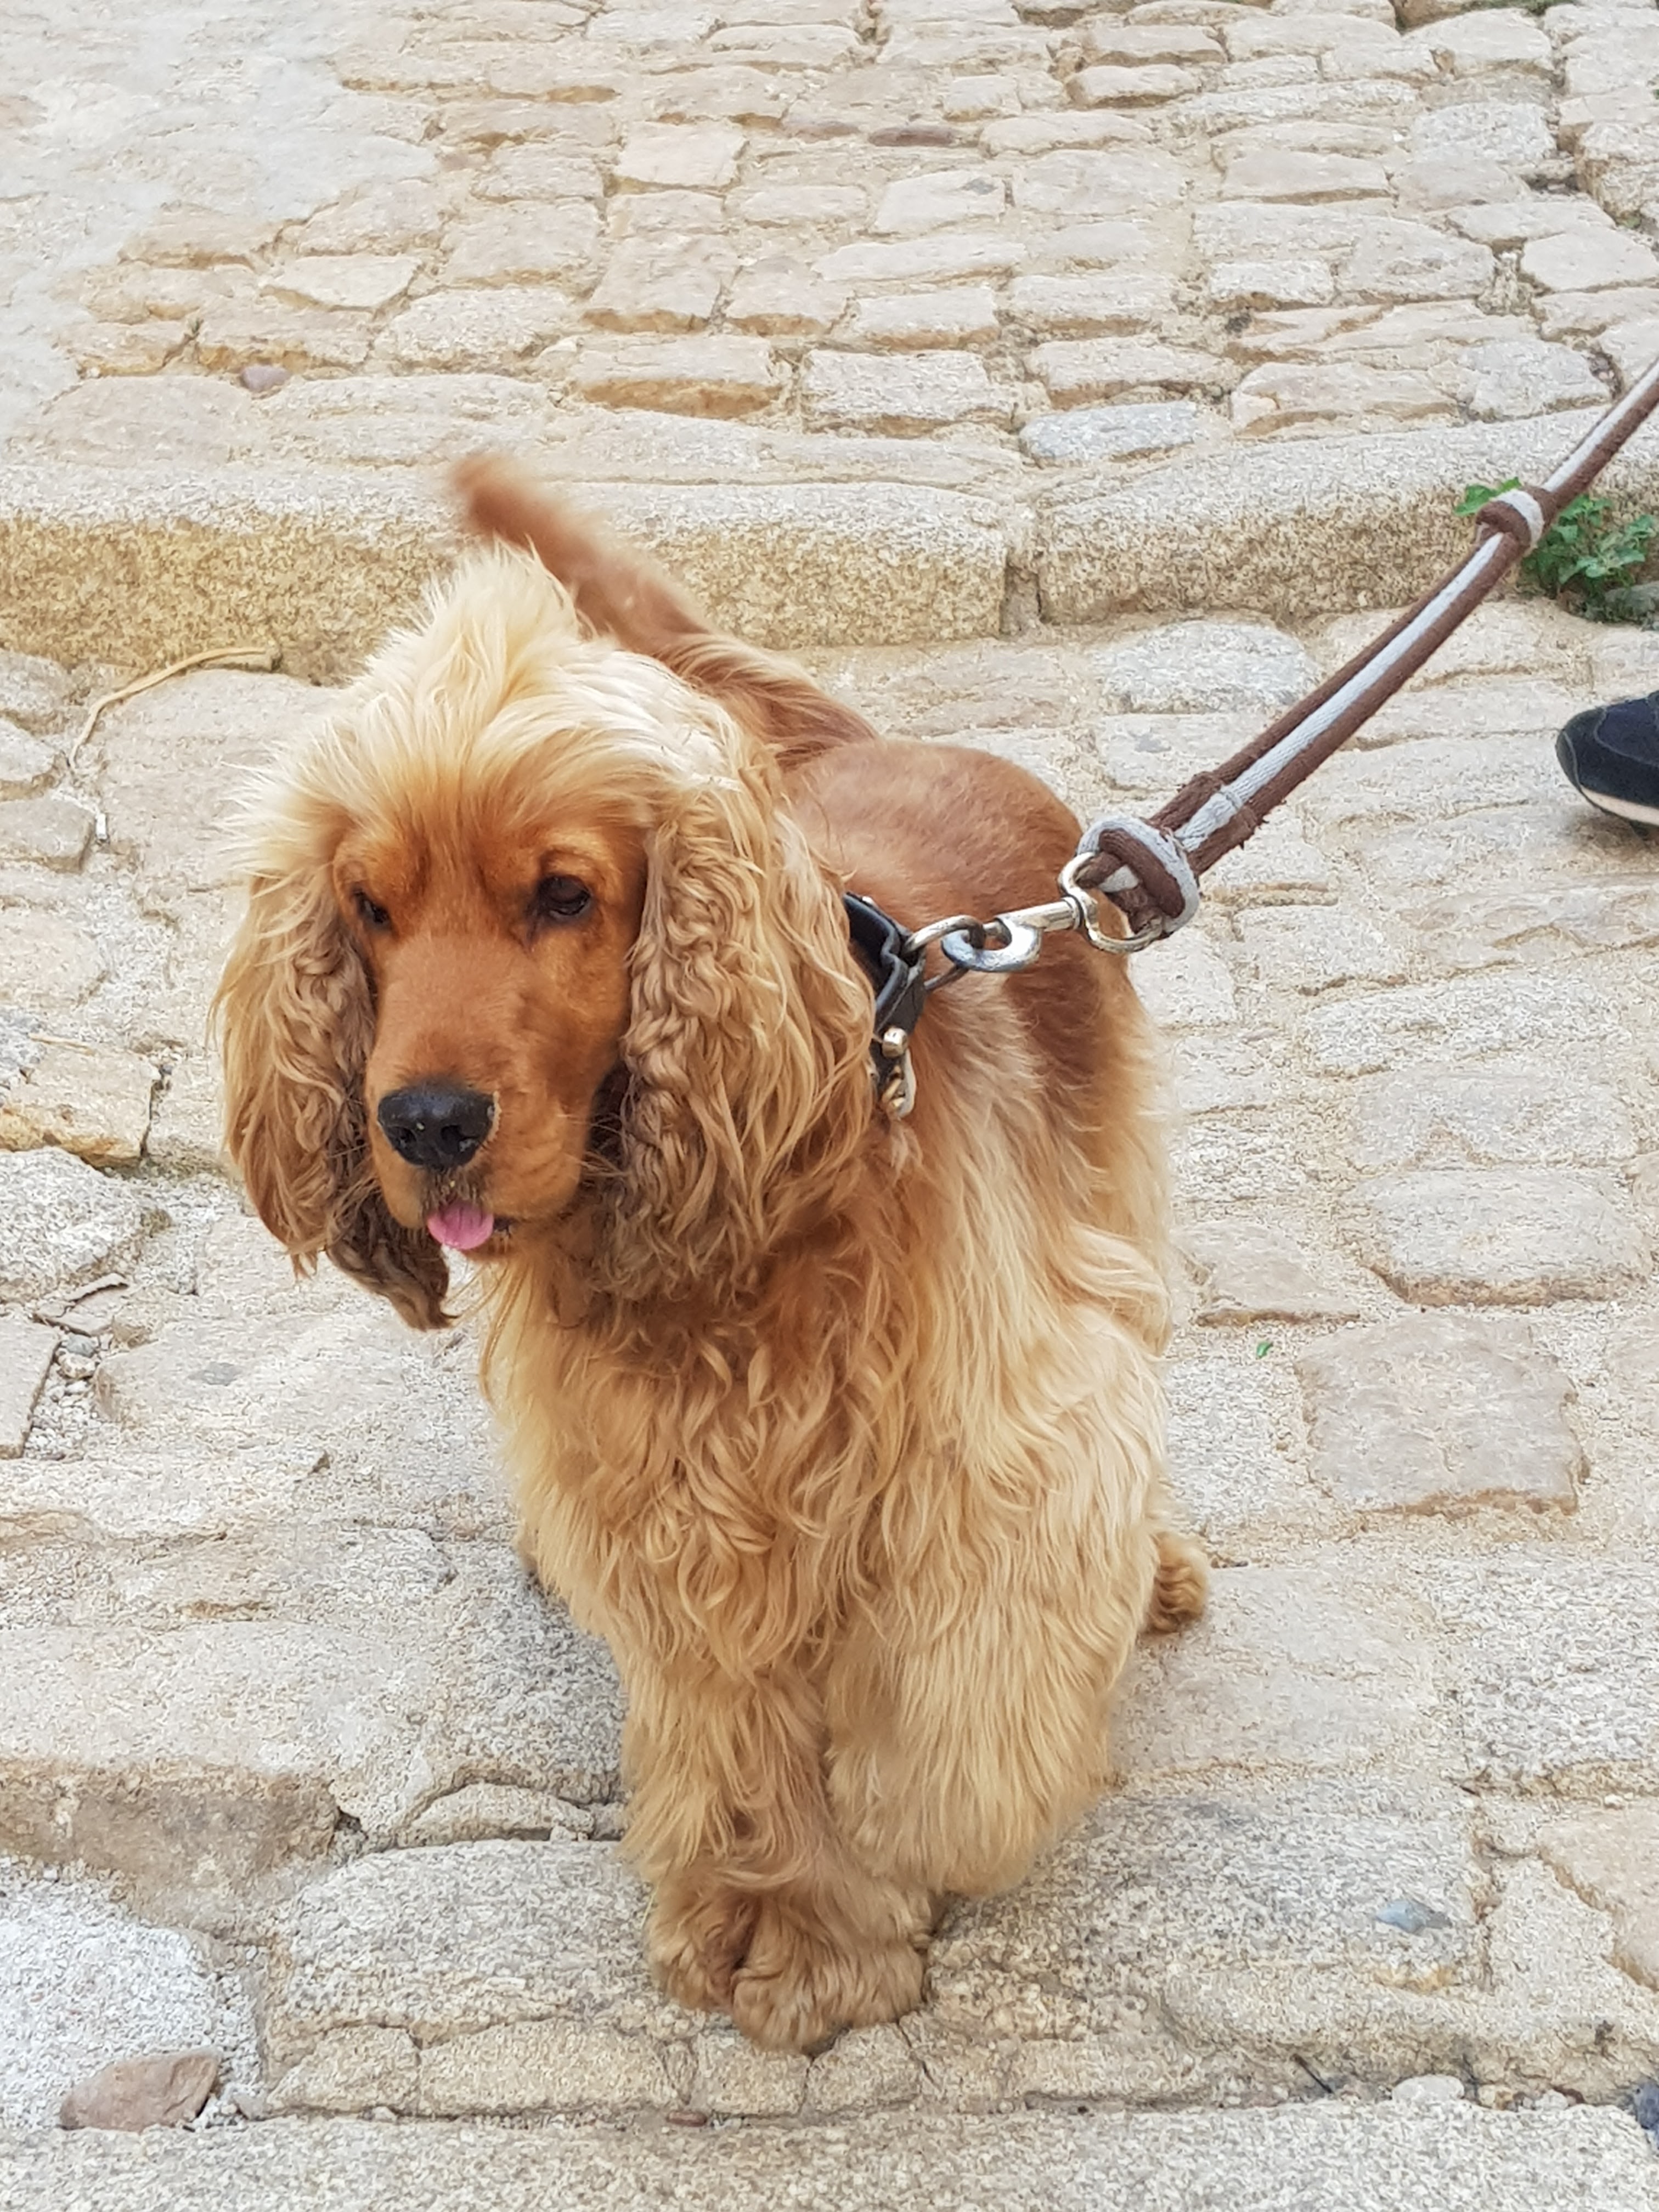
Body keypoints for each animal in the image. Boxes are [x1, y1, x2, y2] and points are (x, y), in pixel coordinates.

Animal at [215, 460, 1207, 2053]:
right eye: (370, 907)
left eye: (563, 895)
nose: (424, 1122)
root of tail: (881, 739)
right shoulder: (672, 1501)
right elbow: (728, 1723)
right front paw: (780, 1921)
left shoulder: (991, 1448)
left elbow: (963, 1712)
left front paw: (898, 1853)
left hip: (1108, 1176)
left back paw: (1156, 1570)